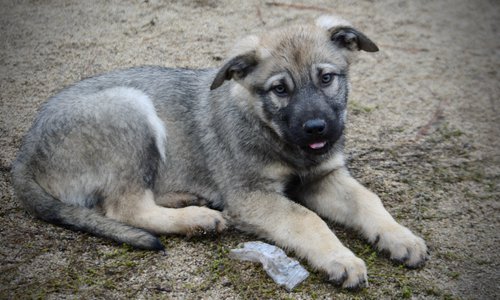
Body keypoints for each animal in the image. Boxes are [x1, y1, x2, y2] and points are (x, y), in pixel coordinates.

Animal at [11, 16, 428, 288]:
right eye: (280, 89)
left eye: (327, 78)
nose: (317, 130)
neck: (271, 132)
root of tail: (25, 153)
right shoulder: (250, 196)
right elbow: (307, 219)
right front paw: (340, 258)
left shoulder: (323, 175)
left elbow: (367, 200)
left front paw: (400, 237)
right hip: (129, 109)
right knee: (124, 208)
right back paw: (197, 218)